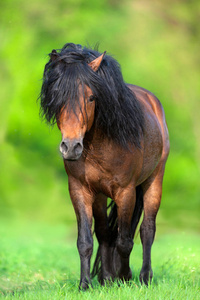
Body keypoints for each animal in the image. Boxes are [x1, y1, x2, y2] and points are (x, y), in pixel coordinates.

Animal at [38, 43, 169, 290]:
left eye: (91, 97)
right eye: (57, 96)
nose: (71, 147)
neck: (102, 144)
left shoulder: (126, 192)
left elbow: (125, 240)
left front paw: (125, 277)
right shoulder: (80, 190)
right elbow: (86, 240)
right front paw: (86, 284)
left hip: (153, 180)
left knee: (147, 230)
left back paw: (144, 277)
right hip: (99, 196)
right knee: (105, 233)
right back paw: (107, 278)